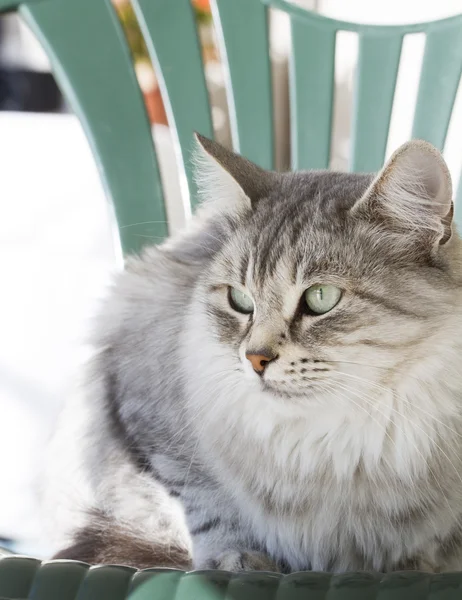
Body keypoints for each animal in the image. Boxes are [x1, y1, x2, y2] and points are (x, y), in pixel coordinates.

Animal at [45, 135, 462, 572]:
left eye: (321, 298)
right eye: (240, 300)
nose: (255, 359)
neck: (332, 445)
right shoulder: (148, 423)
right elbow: (208, 505)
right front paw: (237, 561)